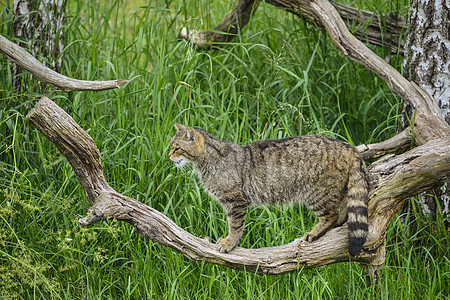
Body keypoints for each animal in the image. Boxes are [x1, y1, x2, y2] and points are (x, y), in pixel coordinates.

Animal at [169, 122, 370, 255]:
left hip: (316, 193)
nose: (169, 155)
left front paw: (229, 243)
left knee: (331, 214)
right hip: (336, 188)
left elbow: (234, 226)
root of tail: (349, 146)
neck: (206, 162)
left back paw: (314, 232)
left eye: (177, 148)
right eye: (171, 147)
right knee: (344, 207)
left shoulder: (235, 202)